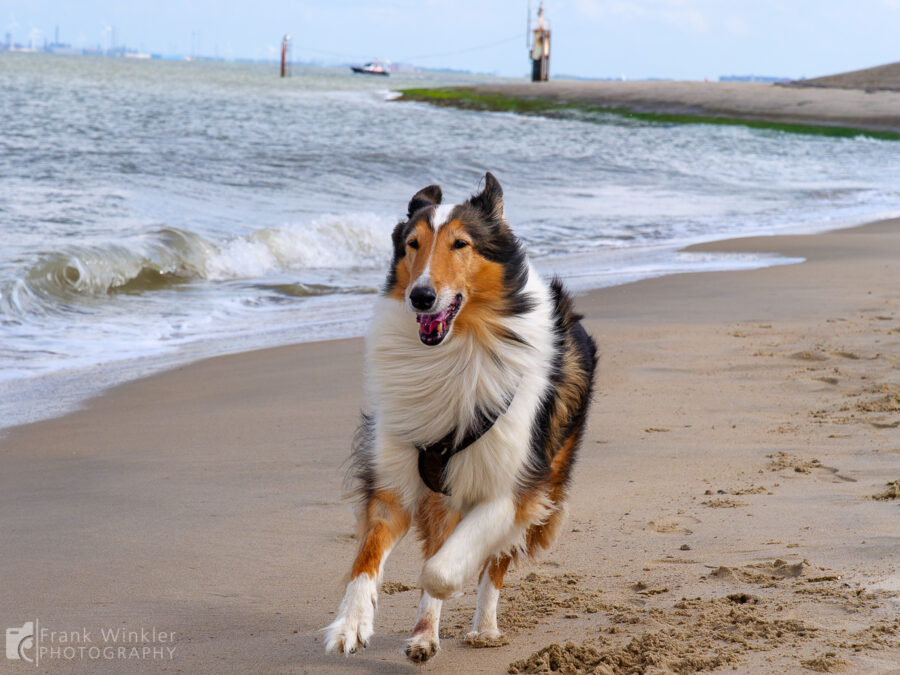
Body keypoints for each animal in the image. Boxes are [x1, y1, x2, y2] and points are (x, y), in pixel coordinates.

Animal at [326, 174, 596, 664]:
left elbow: (440, 570)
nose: (421, 297)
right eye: (412, 244)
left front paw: (447, 591)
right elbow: (369, 558)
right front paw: (352, 624)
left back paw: (484, 628)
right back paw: (423, 635)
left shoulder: (513, 492)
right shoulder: (394, 482)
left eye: (461, 244)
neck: (456, 350)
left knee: (494, 565)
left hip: (545, 480)